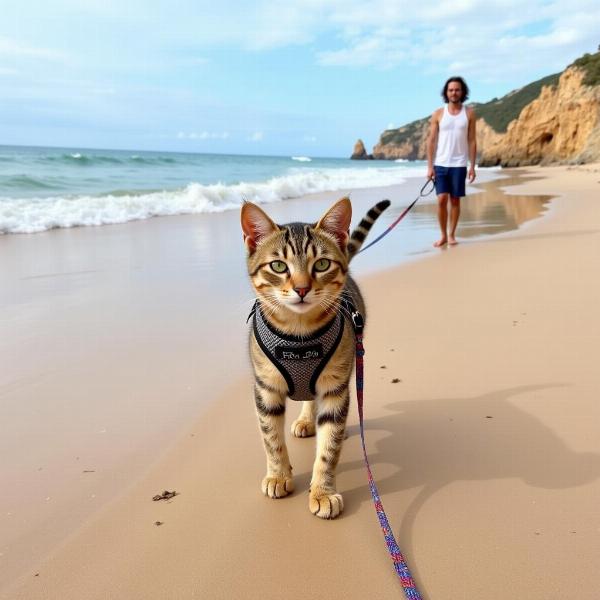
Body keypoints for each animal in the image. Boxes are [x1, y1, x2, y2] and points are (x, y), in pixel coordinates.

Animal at [243, 197, 390, 520]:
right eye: (278, 266)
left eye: (321, 264)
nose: (301, 288)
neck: (299, 335)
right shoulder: (265, 387)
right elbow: (271, 439)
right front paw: (278, 476)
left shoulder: (335, 388)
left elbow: (328, 448)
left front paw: (322, 492)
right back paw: (305, 420)